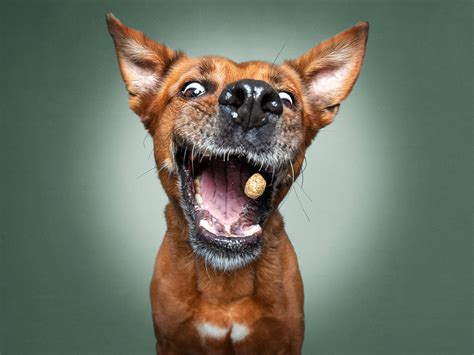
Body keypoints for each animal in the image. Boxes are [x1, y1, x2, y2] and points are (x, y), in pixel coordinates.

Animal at [106, 12, 366, 354]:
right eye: (192, 89)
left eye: (287, 98)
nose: (254, 98)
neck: (225, 283)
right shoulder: (170, 340)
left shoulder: (286, 340)